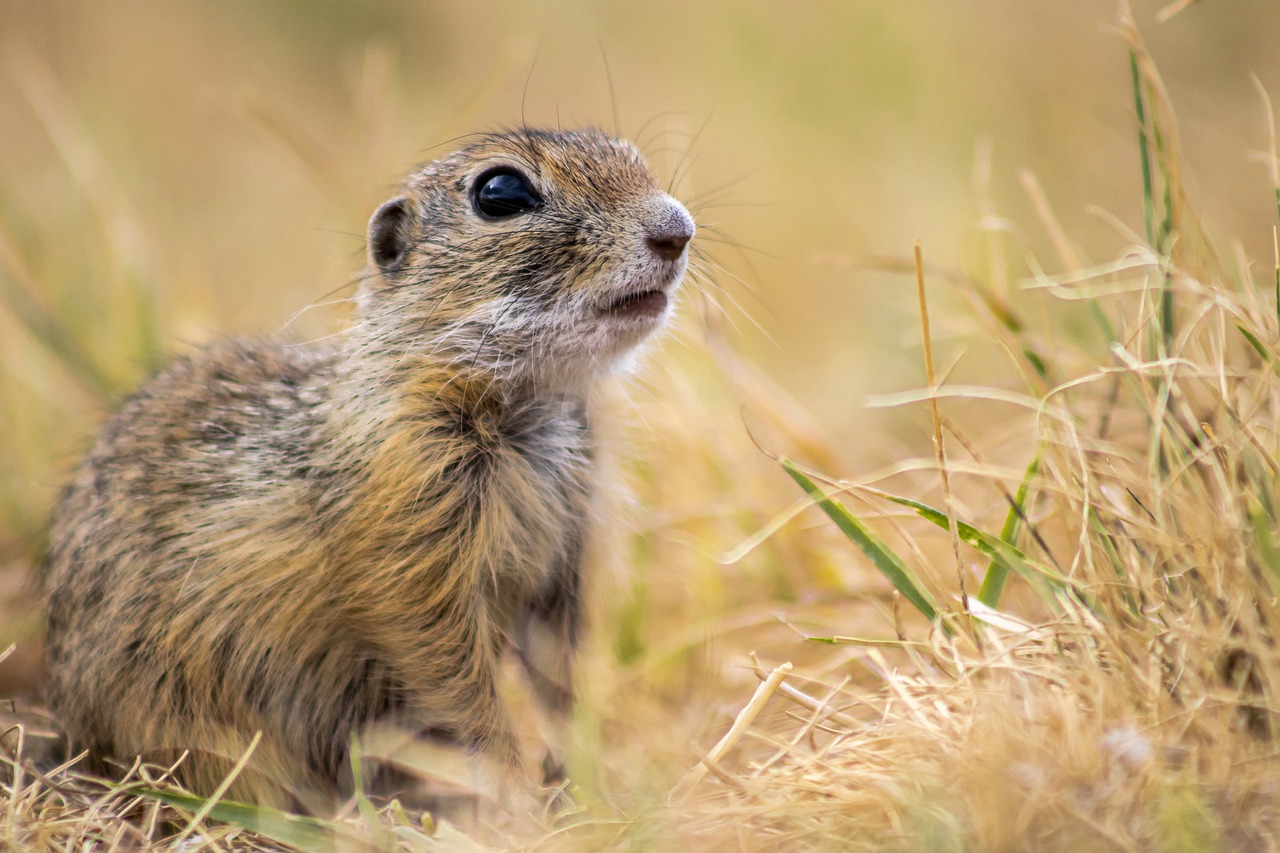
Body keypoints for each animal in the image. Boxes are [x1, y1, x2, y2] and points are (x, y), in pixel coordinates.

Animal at [40, 128, 696, 809]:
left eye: (634, 158)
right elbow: (456, 681)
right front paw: (517, 795)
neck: (525, 402)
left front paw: (588, 782)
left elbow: (558, 676)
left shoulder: (565, 556)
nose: (678, 231)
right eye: (500, 193)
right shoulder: (408, 549)